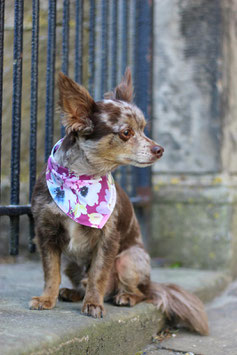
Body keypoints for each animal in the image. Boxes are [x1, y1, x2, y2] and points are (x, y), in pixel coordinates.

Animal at [29, 69, 207, 336]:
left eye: (144, 129)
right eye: (126, 133)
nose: (159, 149)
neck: (81, 180)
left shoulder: (108, 238)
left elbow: (98, 274)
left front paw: (93, 304)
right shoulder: (46, 233)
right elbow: (51, 272)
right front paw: (46, 299)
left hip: (128, 259)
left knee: (139, 292)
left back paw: (125, 296)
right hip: (71, 262)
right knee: (81, 280)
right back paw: (73, 293)